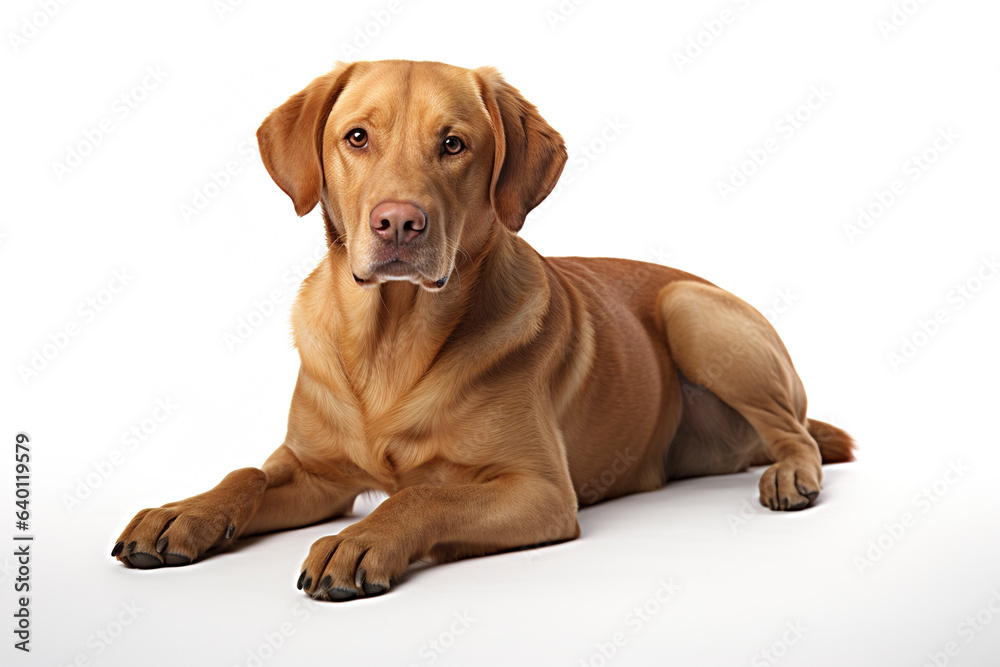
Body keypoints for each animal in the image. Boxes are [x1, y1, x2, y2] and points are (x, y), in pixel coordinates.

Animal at [113, 60, 856, 604]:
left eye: (454, 144)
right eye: (356, 137)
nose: (399, 223)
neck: (390, 339)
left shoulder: (540, 490)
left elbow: (424, 492)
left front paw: (361, 538)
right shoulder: (314, 471)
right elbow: (246, 472)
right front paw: (183, 511)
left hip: (692, 311)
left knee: (795, 433)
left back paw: (792, 475)